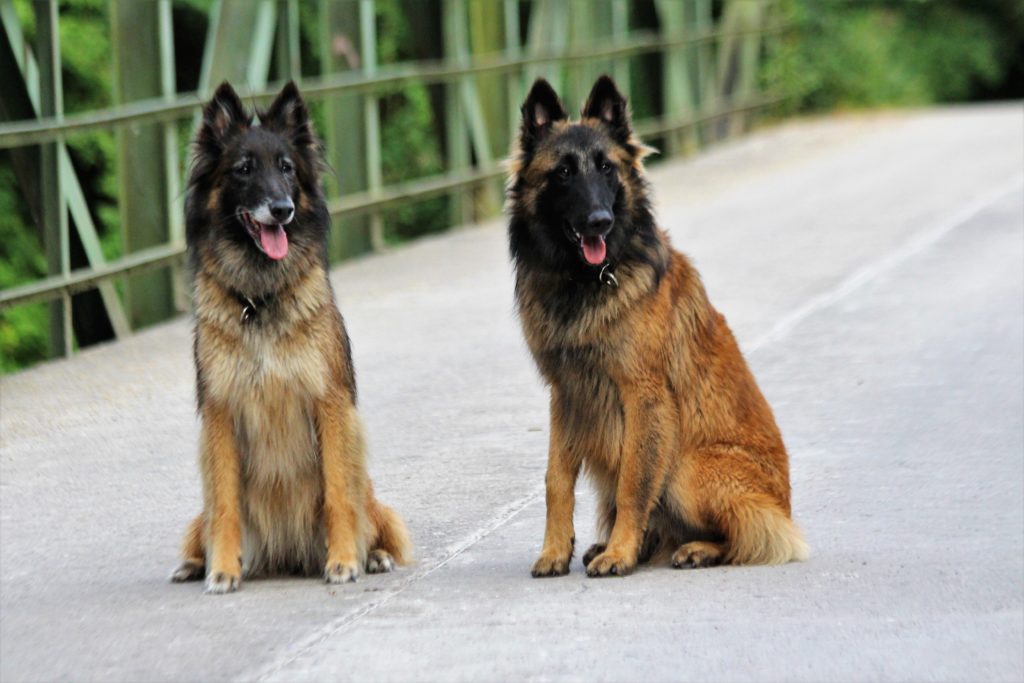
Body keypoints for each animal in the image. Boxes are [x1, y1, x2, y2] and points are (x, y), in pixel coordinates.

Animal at [170, 81, 410, 593]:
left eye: (286, 168)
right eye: (243, 168)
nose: (282, 209)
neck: (259, 300)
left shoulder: (330, 403)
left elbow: (338, 493)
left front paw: (344, 561)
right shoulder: (220, 413)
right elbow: (224, 503)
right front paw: (222, 569)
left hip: (371, 491)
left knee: (371, 515)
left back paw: (374, 555)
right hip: (201, 514)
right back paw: (194, 563)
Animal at [507, 76, 808, 577]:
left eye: (607, 168)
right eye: (564, 172)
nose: (600, 221)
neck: (587, 281)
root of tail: (783, 507)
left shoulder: (644, 397)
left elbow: (633, 482)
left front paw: (620, 553)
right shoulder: (566, 394)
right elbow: (556, 480)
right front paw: (555, 551)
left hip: (685, 466)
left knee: (746, 536)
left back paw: (693, 549)